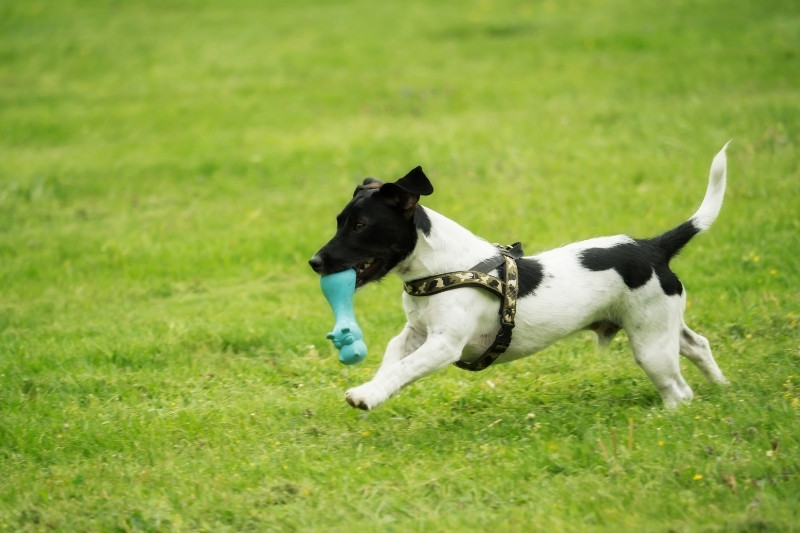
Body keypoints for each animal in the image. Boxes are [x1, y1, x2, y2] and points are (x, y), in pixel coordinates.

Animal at [308, 143, 732, 410]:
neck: (439, 269)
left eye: (360, 225)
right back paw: (723, 388)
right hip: (661, 323)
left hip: (650, 342)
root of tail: (653, 247)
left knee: (679, 390)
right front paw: (373, 387)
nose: (314, 262)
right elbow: (393, 360)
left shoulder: (443, 345)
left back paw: (671, 413)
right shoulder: (415, 333)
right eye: (339, 221)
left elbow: (404, 369)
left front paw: (368, 396)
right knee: (697, 344)